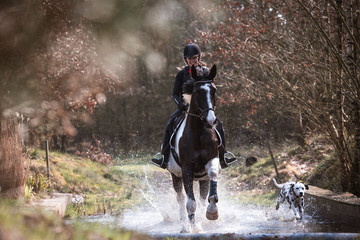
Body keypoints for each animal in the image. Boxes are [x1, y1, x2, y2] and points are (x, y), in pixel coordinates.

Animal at [167, 64, 222, 232]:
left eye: (214, 90)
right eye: (197, 92)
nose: (211, 121)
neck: (198, 132)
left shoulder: (212, 160)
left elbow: (213, 174)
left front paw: (212, 212)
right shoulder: (187, 168)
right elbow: (190, 202)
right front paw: (192, 226)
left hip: (202, 179)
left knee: (202, 197)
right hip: (175, 176)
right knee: (180, 198)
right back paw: (184, 223)